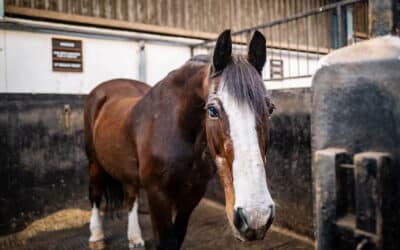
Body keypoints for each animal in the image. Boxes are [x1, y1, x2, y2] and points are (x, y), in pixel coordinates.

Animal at [83, 29, 276, 250]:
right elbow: (166, 241)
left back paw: (135, 237)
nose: (256, 216)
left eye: (271, 109)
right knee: (95, 193)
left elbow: (178, 236)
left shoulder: (193, 193)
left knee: (131, 195)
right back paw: (96, 237)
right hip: (94, 162)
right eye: (212, 110)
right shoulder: (157, 194)